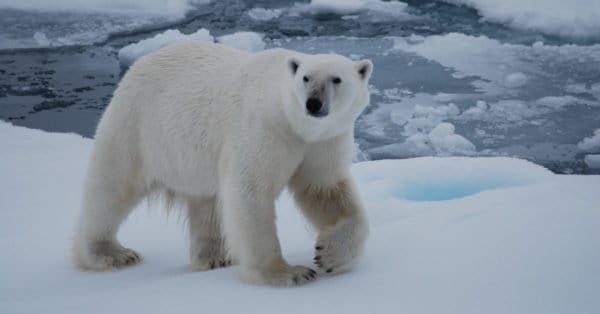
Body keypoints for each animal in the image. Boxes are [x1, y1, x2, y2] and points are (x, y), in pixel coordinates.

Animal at [73, 40, 372, 286]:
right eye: (305, 78)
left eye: (336, 79)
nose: (313, 103)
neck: (294, 123)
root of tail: (139, 64)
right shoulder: (265, 129)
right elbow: (251, 190)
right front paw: (288, 273)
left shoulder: (324, 142)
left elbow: (325, 189)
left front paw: (330, 256)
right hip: (137, 125)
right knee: (112, 187)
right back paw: (111, 254)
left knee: (206, 203)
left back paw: (214, 257)